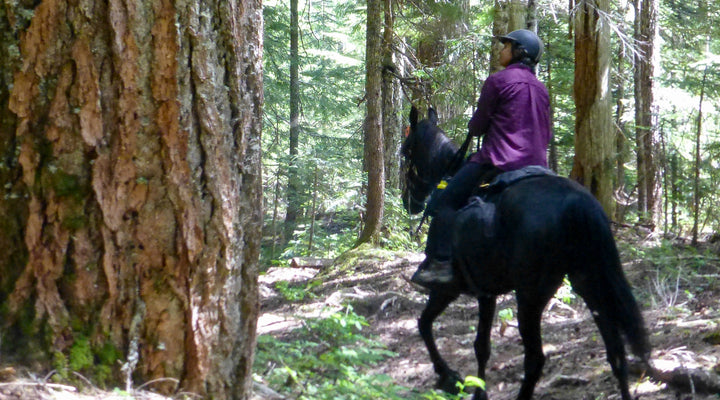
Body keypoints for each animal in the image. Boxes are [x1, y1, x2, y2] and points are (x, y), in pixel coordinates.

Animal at [401, 106, 650, 400]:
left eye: (405, 152)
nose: (409, 202)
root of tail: (576, 202)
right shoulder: (486, 292)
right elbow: (481, 346)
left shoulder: (448, 289)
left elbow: (424, 324)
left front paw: (448, 377)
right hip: (589, 283)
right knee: (616, 353)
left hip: (530, 296)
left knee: (535, 359)